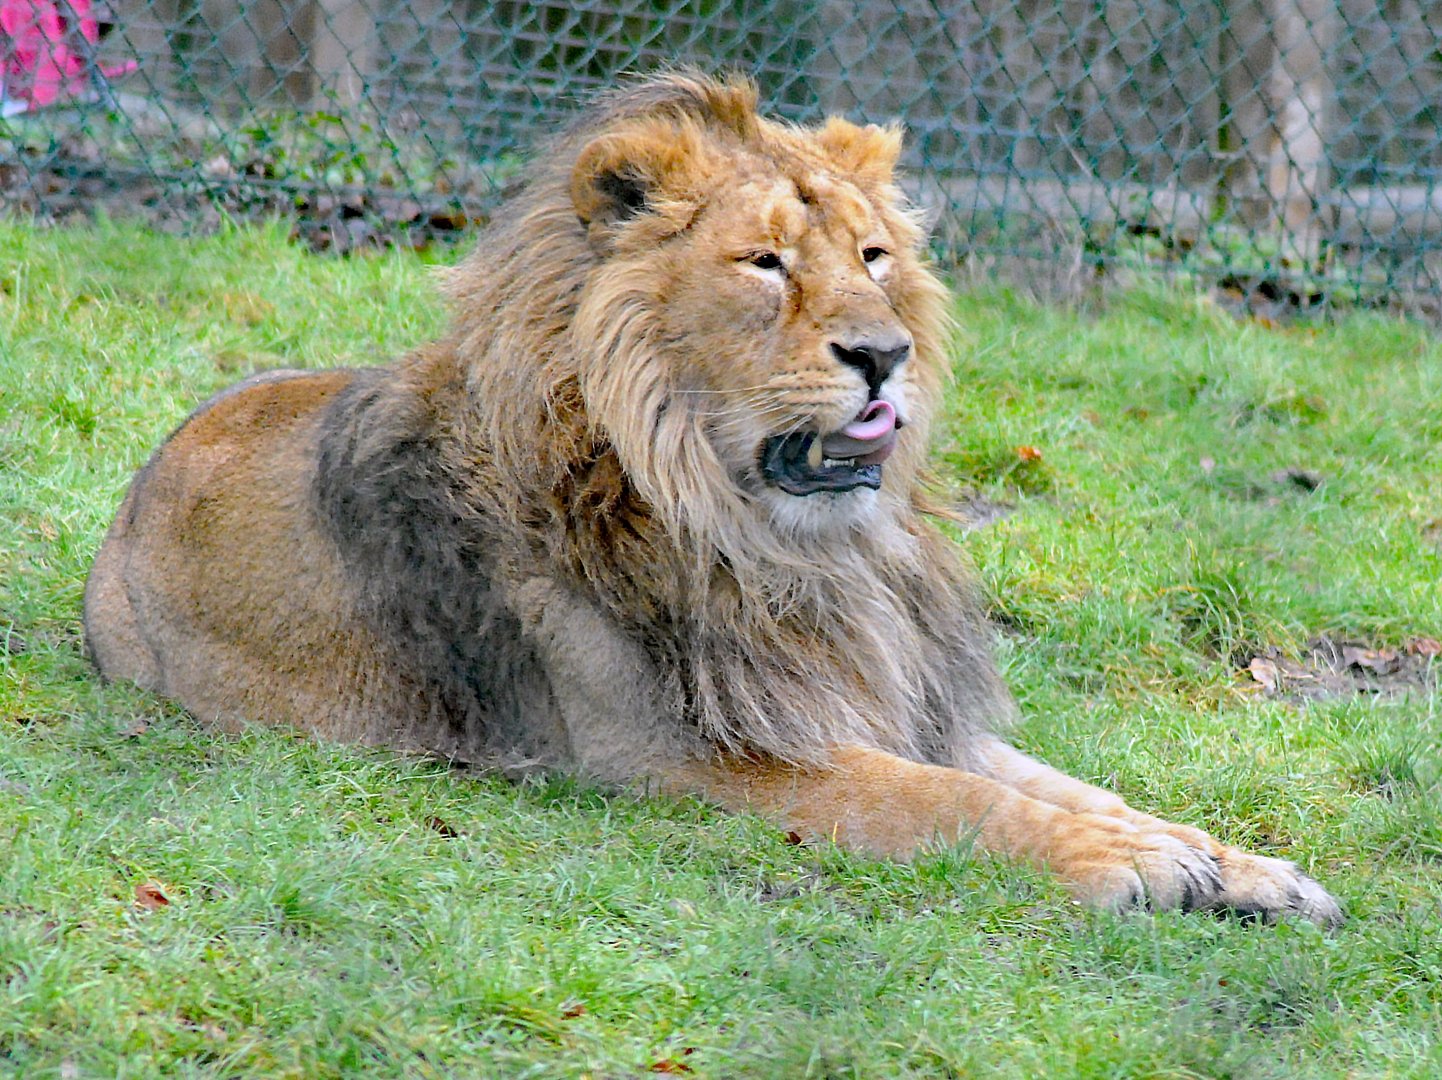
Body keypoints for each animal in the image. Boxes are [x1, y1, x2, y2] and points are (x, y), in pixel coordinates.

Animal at [84, 72, 1340, 926]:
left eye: (873, 256)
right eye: (764, 264)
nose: (881, 356)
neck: (796, 545)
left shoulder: (890, 705)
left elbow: (1082, 789)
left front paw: (1239, 866)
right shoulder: (679, 757)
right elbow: (948, 804)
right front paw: (1128, 867)